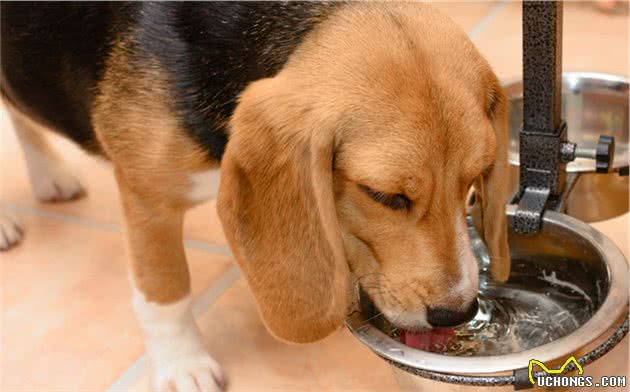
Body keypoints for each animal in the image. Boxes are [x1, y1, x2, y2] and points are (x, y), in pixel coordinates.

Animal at [1, 3, 512, 392]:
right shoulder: (147, 199)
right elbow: (165, 290)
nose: (457, 312)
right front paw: (182, 365)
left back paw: (49, 175)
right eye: (384, 195)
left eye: (473, 183)